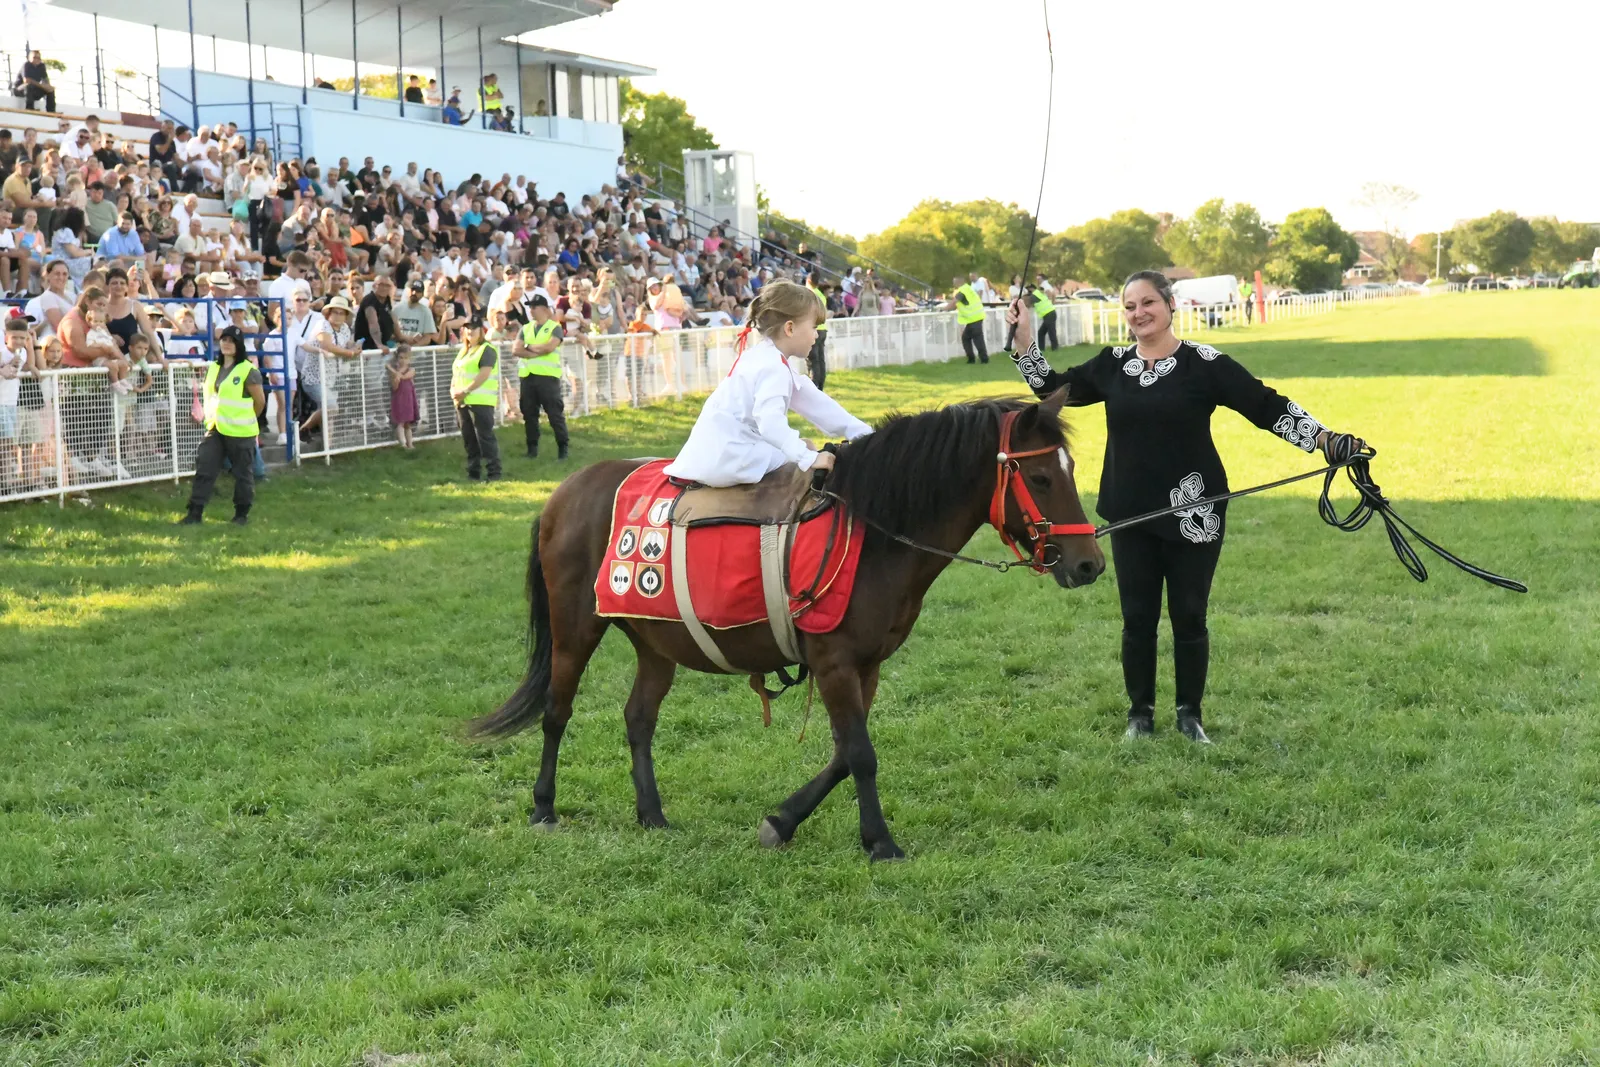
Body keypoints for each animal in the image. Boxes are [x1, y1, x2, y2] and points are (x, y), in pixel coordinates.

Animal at [468, 390, 1105, 860]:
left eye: (1071, 469)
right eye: (1042, 478)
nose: (1089, 564)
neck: (873, 530)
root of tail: (564, 493)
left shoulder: (865, 665)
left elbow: (845, 754)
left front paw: (783, 820)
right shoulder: (834, 662)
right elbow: (860, 753)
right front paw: (879, 842)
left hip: (655, 642)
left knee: (638, 719)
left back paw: (651, 814)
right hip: (575, 626)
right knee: (557, 711)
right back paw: (544, 807)